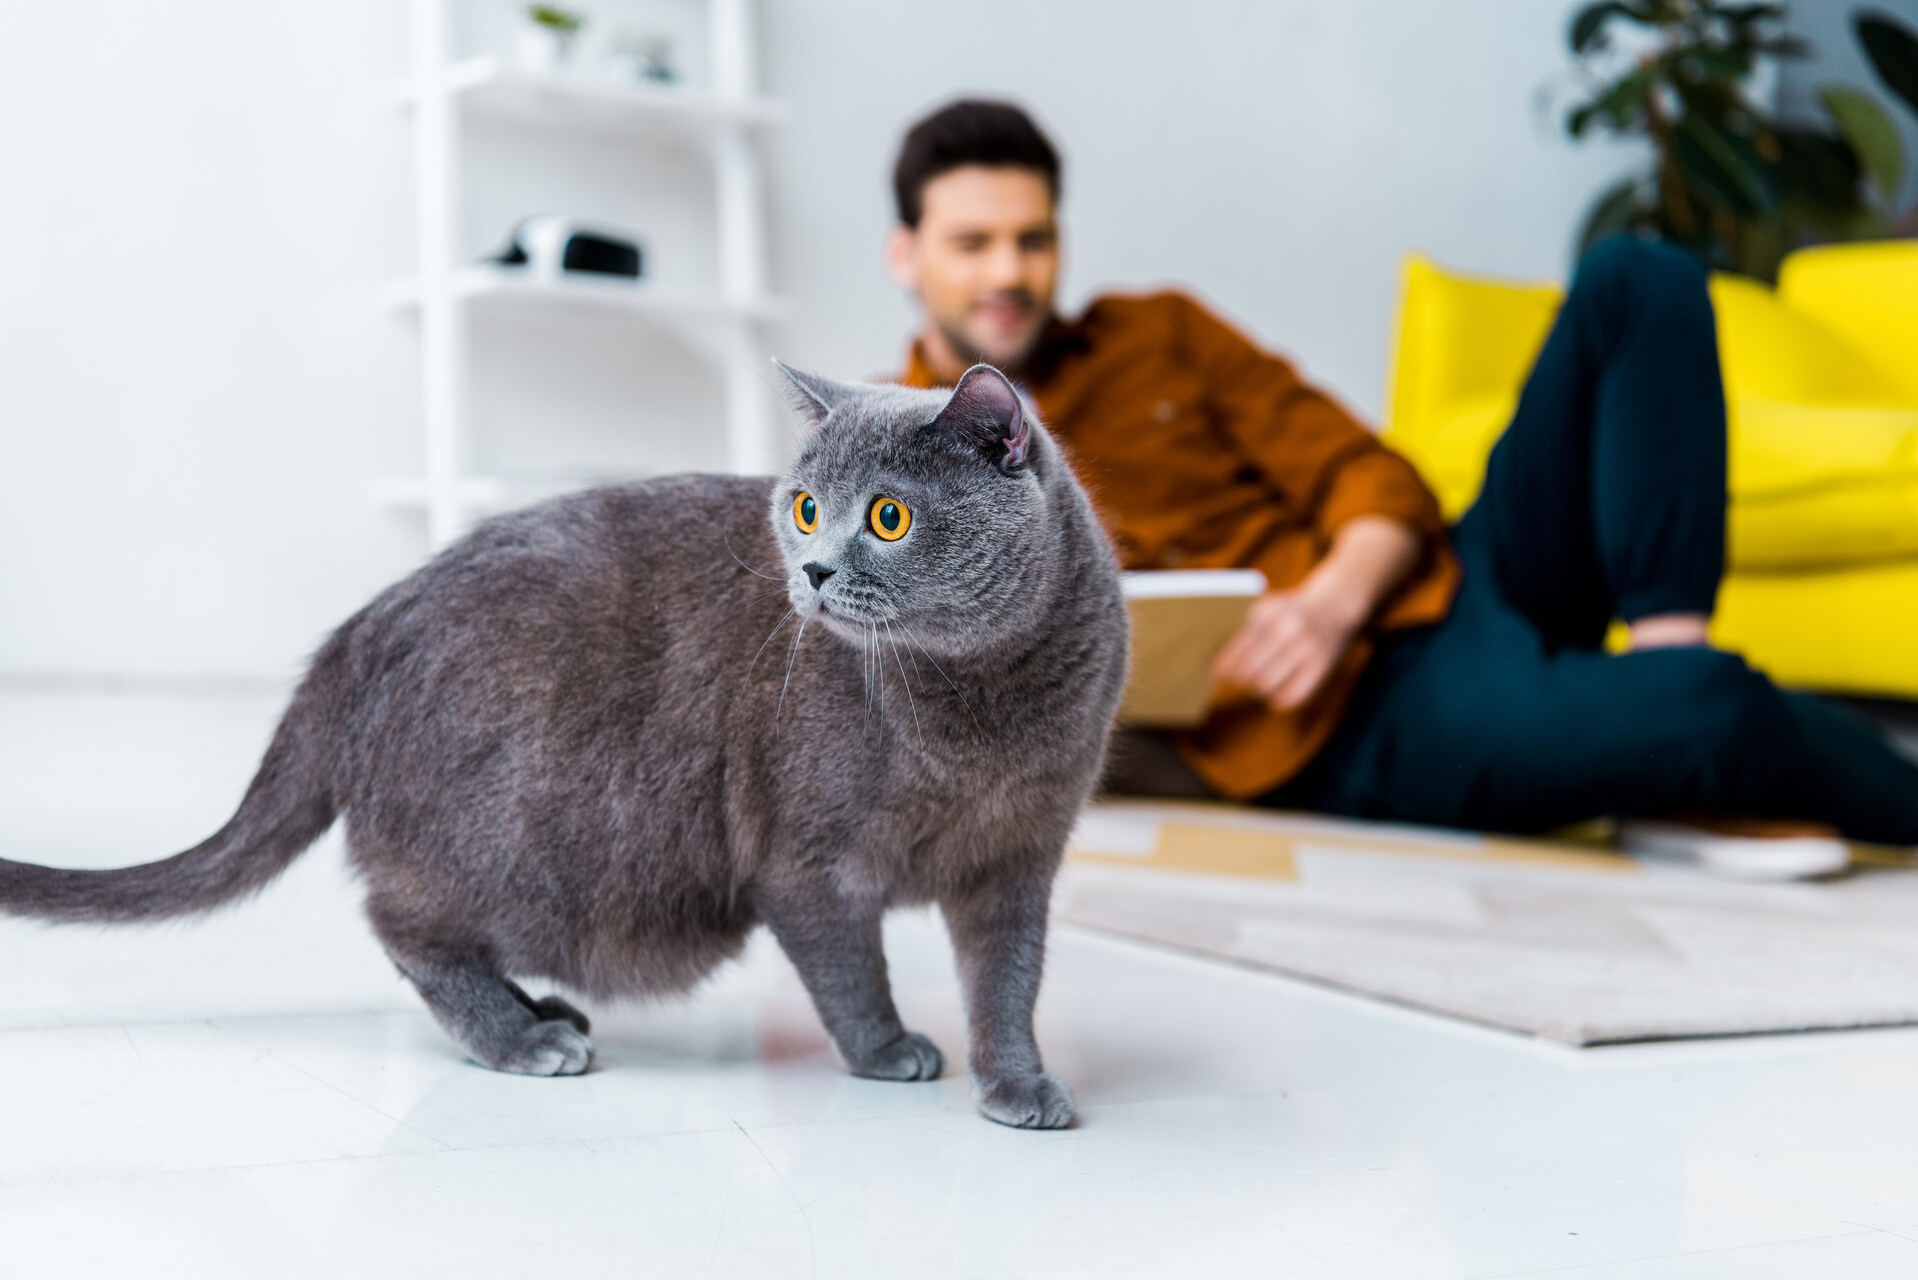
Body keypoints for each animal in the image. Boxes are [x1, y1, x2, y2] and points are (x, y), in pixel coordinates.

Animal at [0, 362, 1127, 1128]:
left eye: (888, 517)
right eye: (806, 507)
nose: (807, 570)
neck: (976, 711)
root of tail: (359, 629)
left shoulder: (1019, 859)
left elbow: (1009, 981)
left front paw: (1018, 1083)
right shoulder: (805, 859)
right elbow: (849, 968)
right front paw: (888, 1050)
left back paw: (540, 1008)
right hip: (538, 837)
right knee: (403, 920)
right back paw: (523, 1037)